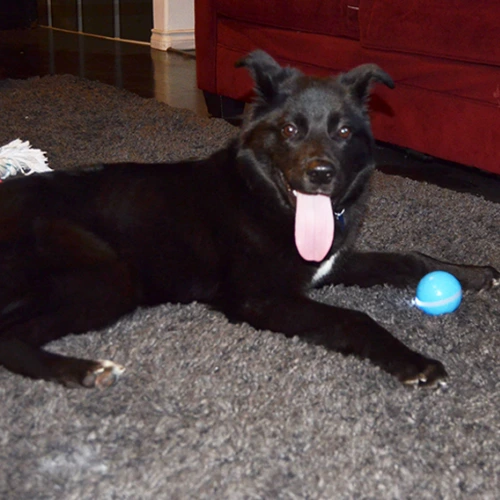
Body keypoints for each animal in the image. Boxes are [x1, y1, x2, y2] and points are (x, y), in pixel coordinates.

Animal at [0, 50, 498, 386]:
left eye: (342, 132)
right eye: (291, 130)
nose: (321, 174)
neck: (265, 199)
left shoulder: (327, 264)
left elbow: (409, 258)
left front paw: (473, 273)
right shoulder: (257, 298)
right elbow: (353, 318)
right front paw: (414, 362)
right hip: (107, 274)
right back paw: (84, 369)